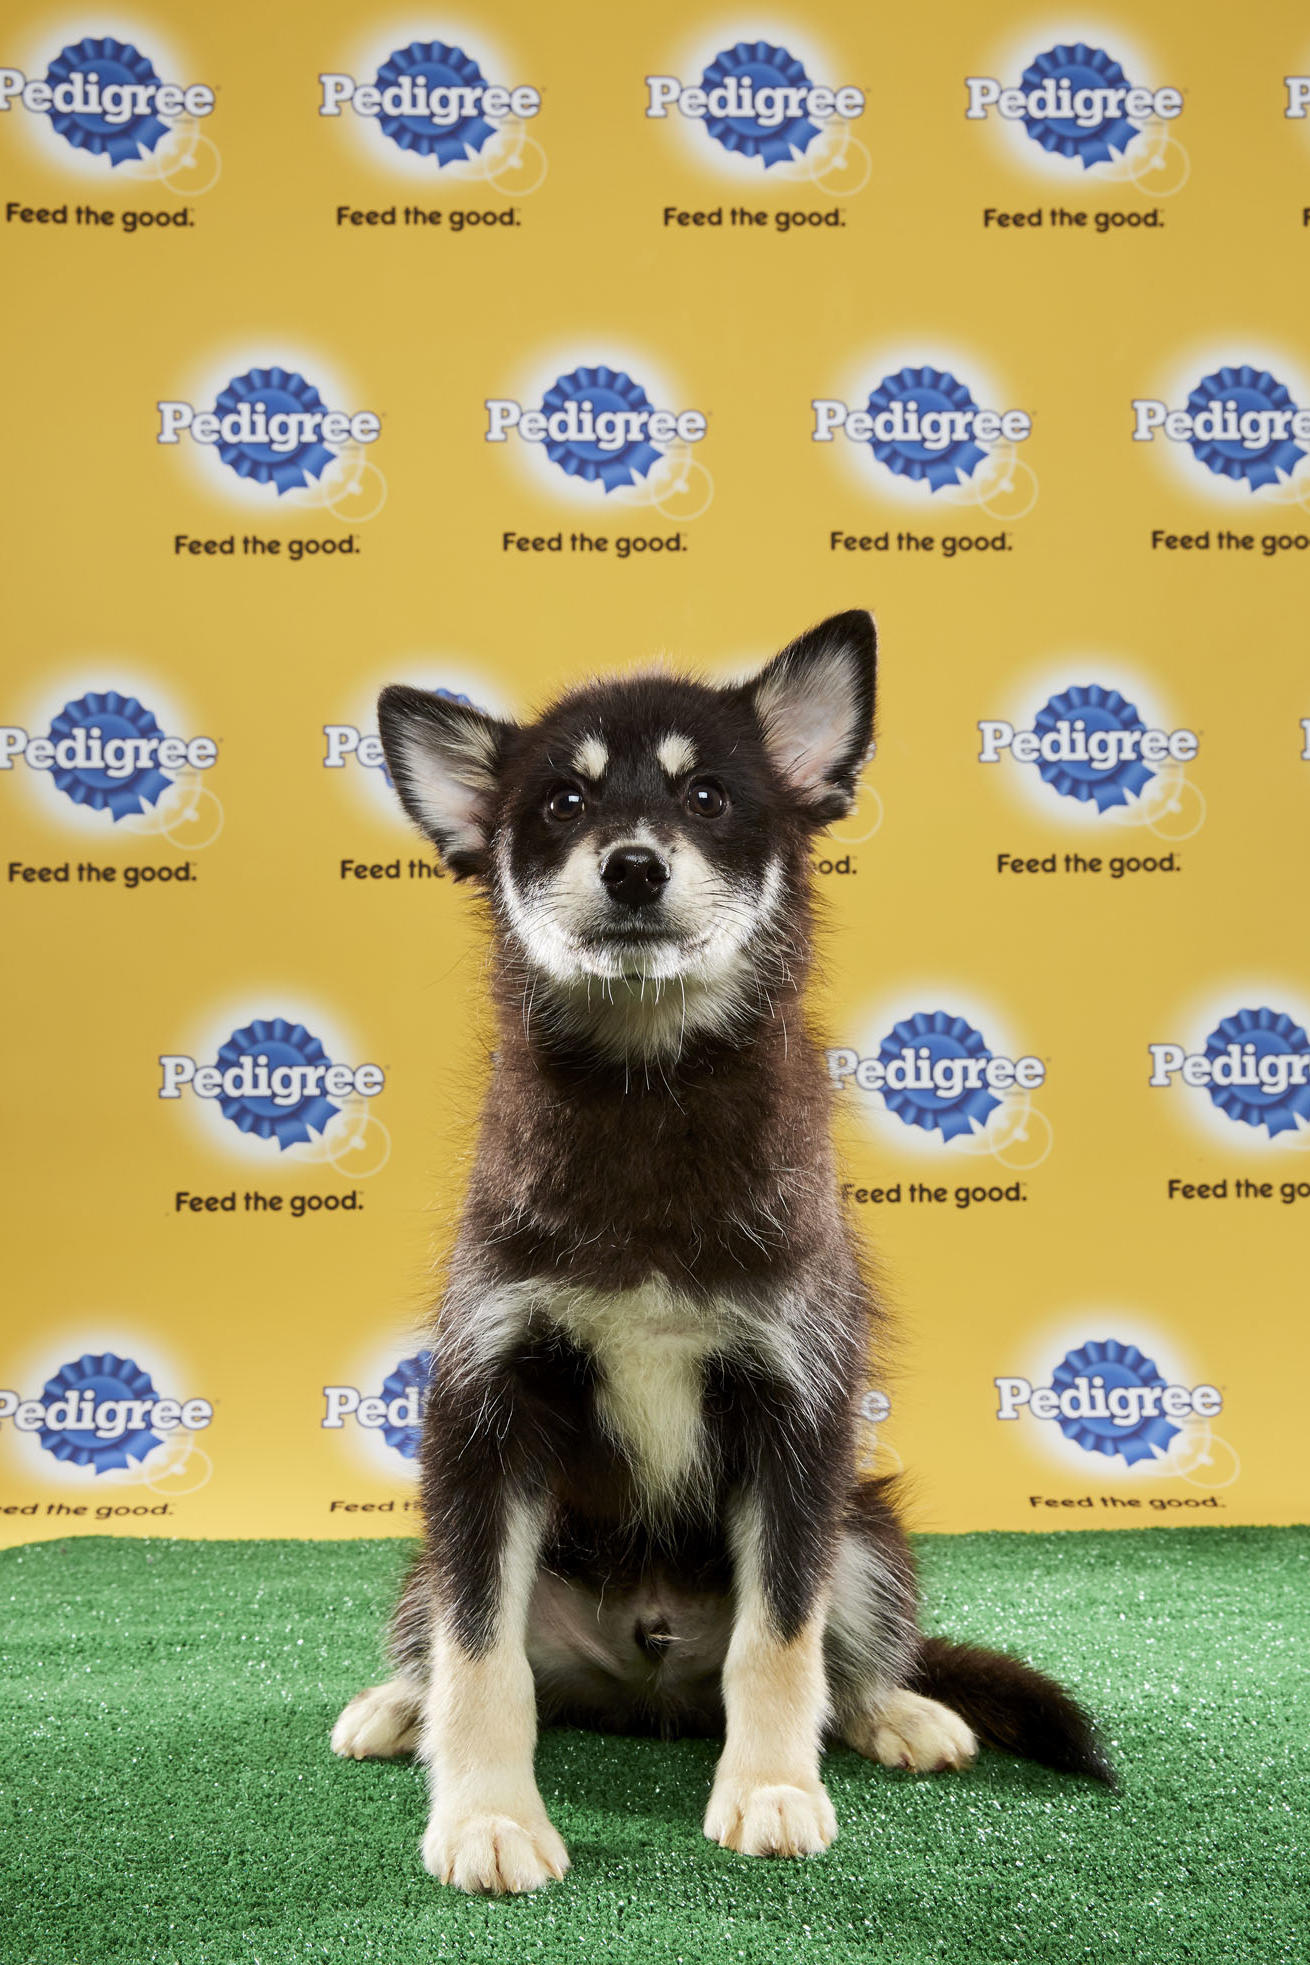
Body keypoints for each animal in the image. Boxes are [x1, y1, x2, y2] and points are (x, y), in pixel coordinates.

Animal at [333, 609, 1115, 1886]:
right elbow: (479, 1652)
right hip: (432, 1554)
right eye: (560, 803)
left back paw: (901, 1712)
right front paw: (489, 1817)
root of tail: (646, 1681)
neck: (649, 1097)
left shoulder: (794, 1412)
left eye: (705, 795)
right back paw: (399, 1708)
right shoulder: (483, 1414)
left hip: (864, 1530)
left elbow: (778, 1638)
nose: (631, 867)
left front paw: (769, 1791)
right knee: (446, 1639)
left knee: (848, 1658)